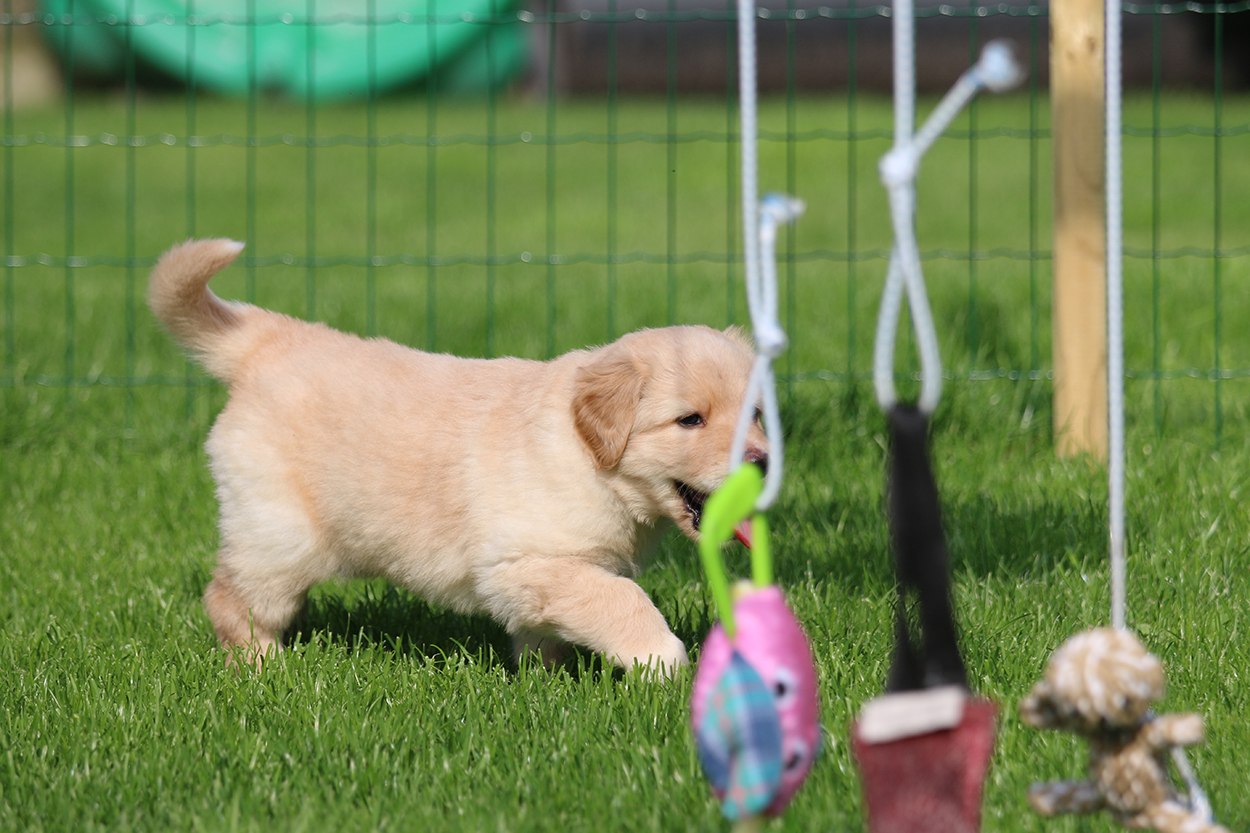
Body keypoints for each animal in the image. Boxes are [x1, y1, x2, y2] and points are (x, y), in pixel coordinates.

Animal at [149, 238, 768, 675]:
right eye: (690, 420)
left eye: (758, 414)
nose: (763, 463)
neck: (589, 457)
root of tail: (269, 340)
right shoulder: (528, 561)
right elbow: (618, 597)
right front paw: (659, 658)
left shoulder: (541, 577)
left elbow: (547, 629)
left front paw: (547, 677)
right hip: (279, 534)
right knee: (233, 600)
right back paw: (261, 667)